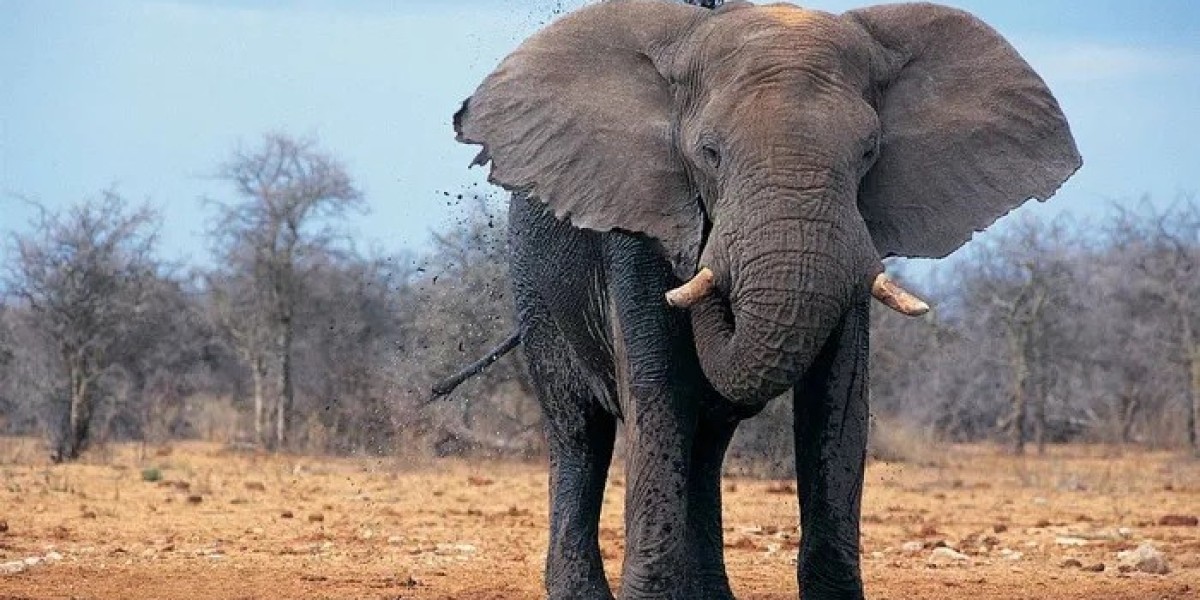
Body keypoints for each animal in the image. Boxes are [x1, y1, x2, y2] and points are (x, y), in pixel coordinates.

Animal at [445, 0, 1080, 598]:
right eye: (709, 154)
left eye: (869, 153)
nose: (704, 244)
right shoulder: (635, 230)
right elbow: (658, 395)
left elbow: (838, 401)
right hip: (535, 288)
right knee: (582, 434)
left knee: (705, 444)